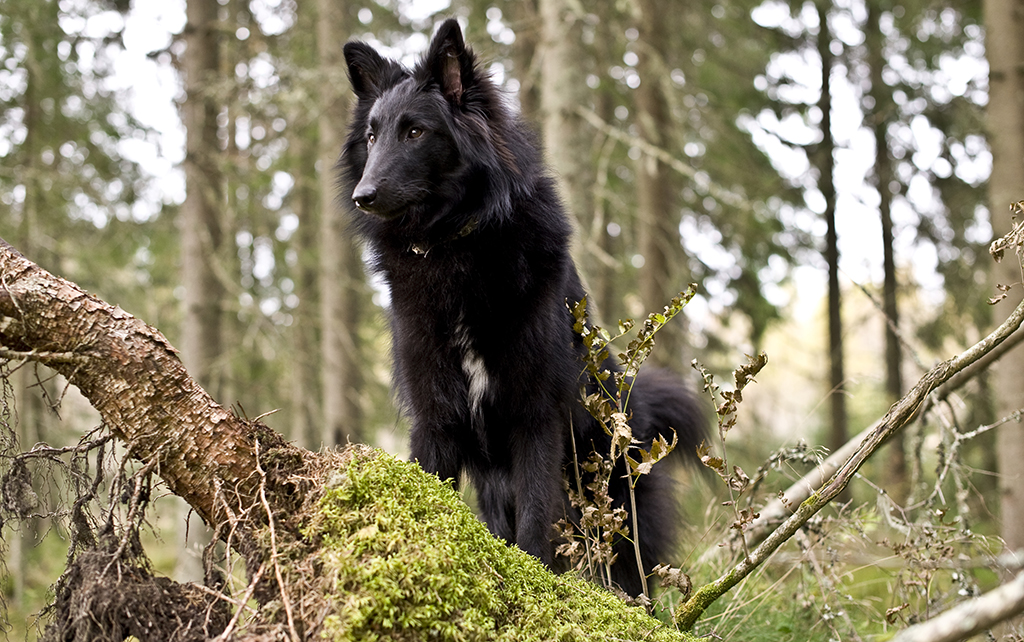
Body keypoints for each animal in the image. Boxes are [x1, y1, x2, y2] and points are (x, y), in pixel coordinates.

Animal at [342, 17, 704, 593]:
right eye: (373, 135)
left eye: (415, 132)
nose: (363, 195)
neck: (456, 245)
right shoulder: (436, 418)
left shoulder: (535, 418)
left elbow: (538, 520)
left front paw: (538, 580)